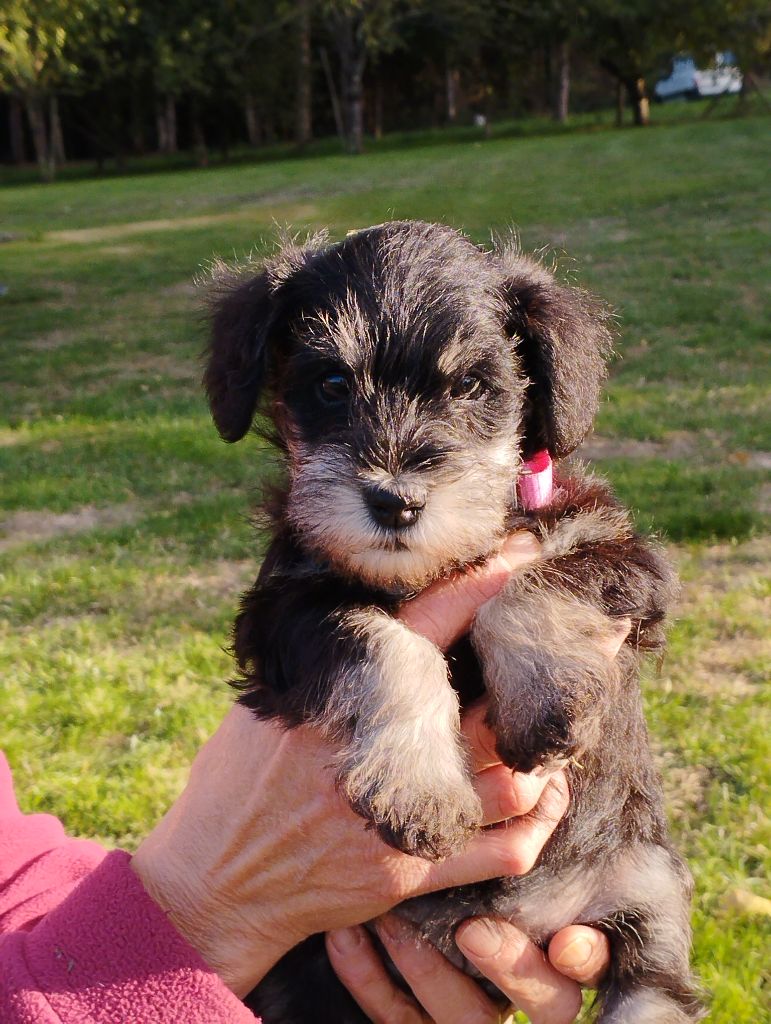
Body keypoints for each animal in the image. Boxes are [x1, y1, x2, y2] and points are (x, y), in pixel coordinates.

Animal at [202, 221, 703, 1022]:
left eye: (470, 386)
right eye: (331, 384)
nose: (395, 502)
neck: (434, 566)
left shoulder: (626, 561)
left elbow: (532, 586)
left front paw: (543, 706)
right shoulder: (277, 615)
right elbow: (383, 641)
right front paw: (421, 786)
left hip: (648, 920)